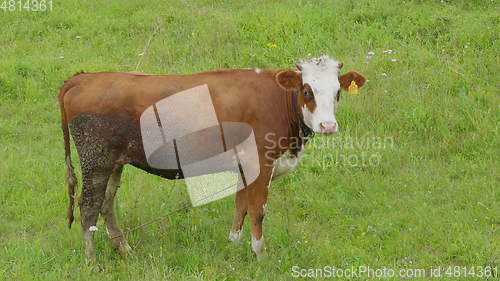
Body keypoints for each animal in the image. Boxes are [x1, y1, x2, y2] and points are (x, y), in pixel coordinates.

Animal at [58, 55, 366, 260]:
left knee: (106, 203)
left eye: (338, 92)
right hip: (95, 159)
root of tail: (84, 77)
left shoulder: (243, 166)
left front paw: (233, 246)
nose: (328, 125)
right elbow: (257, 210)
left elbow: (240, 207)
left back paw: (124, 249)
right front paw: (259, 255)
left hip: (114, 162)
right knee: (88, 207)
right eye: (306, 90)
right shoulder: (260, 162)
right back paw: (91, 261)